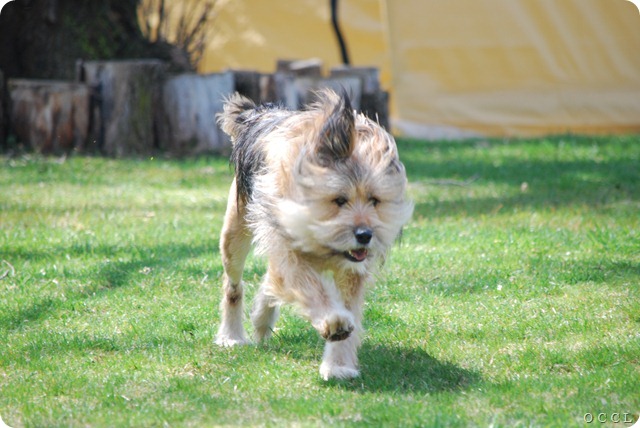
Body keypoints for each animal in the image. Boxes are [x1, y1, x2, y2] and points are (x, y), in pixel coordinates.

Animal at [214, 89, 413, 380]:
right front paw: (333, 322)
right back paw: (231, 336)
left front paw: (339, 364)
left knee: (270, 280)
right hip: (235, 231)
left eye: (374, 200)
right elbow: (310, 287)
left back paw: (261, 321)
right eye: (339, 200)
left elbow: (348, 306)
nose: (365, 235)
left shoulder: (352, 269)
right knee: (234, 285)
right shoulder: (288, 247)